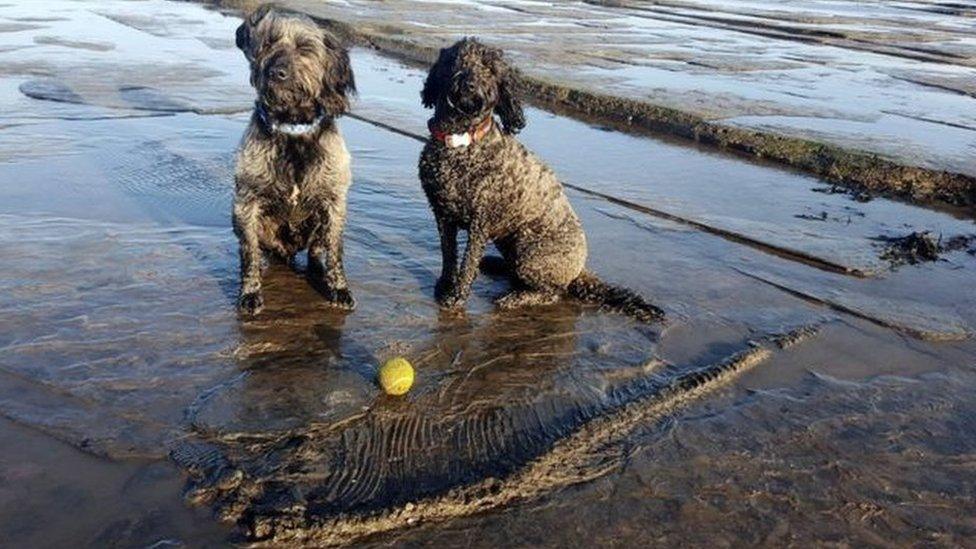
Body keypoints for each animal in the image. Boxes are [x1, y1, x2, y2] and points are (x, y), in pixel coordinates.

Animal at [231, 4, 356, 314]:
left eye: (304, 47)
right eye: (268, 43)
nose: (277, 72)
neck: (293, 129)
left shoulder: (334, 205)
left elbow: (335, 253)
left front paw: (339, 288)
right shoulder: (246, 203)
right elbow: (248, 253)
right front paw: (249, 292)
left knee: (316, 251)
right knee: (260, 250)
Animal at [420, 38, 664, 322]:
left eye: (489, 68)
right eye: (454, 60)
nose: (468, 83)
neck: (461, 141)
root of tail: (580, 270)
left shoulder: (481, 222)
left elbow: (468, 261)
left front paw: (457, 296)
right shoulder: (442, 213)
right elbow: (448, 255)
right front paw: (445, 285)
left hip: (528, 249)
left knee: (552, 291)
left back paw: (516, 297)